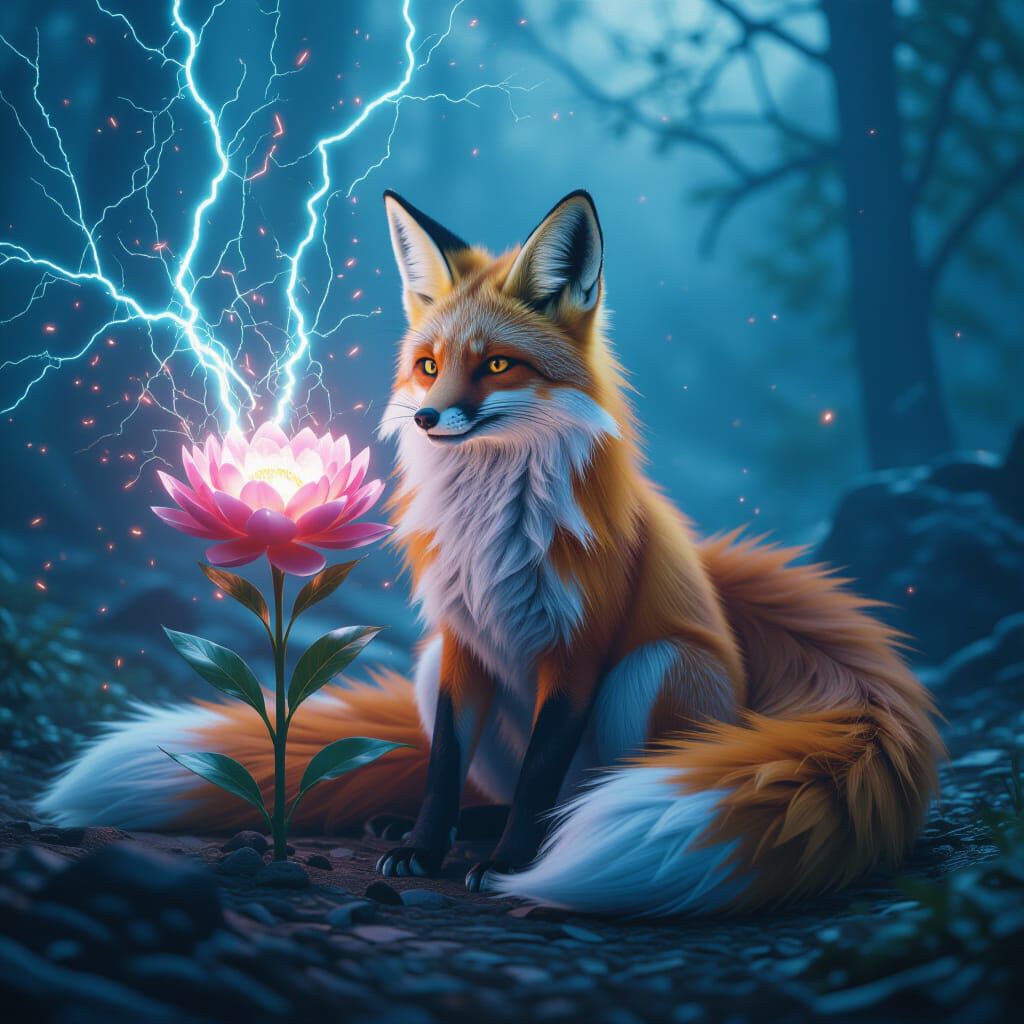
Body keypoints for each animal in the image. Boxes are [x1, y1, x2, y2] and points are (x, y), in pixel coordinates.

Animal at [40, 189, 942, 916]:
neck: (493, 525)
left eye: (499, 365)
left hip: (651, 673)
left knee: (579, 793)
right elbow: (443, 764)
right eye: (429, 365)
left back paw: (537, 839)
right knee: (487, 786)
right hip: (429, 663)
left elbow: (542, 773)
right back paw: (429, 826)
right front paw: (424, 847)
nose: (427, 418)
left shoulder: (579, 653)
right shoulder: (461, 641)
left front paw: (508, 864)